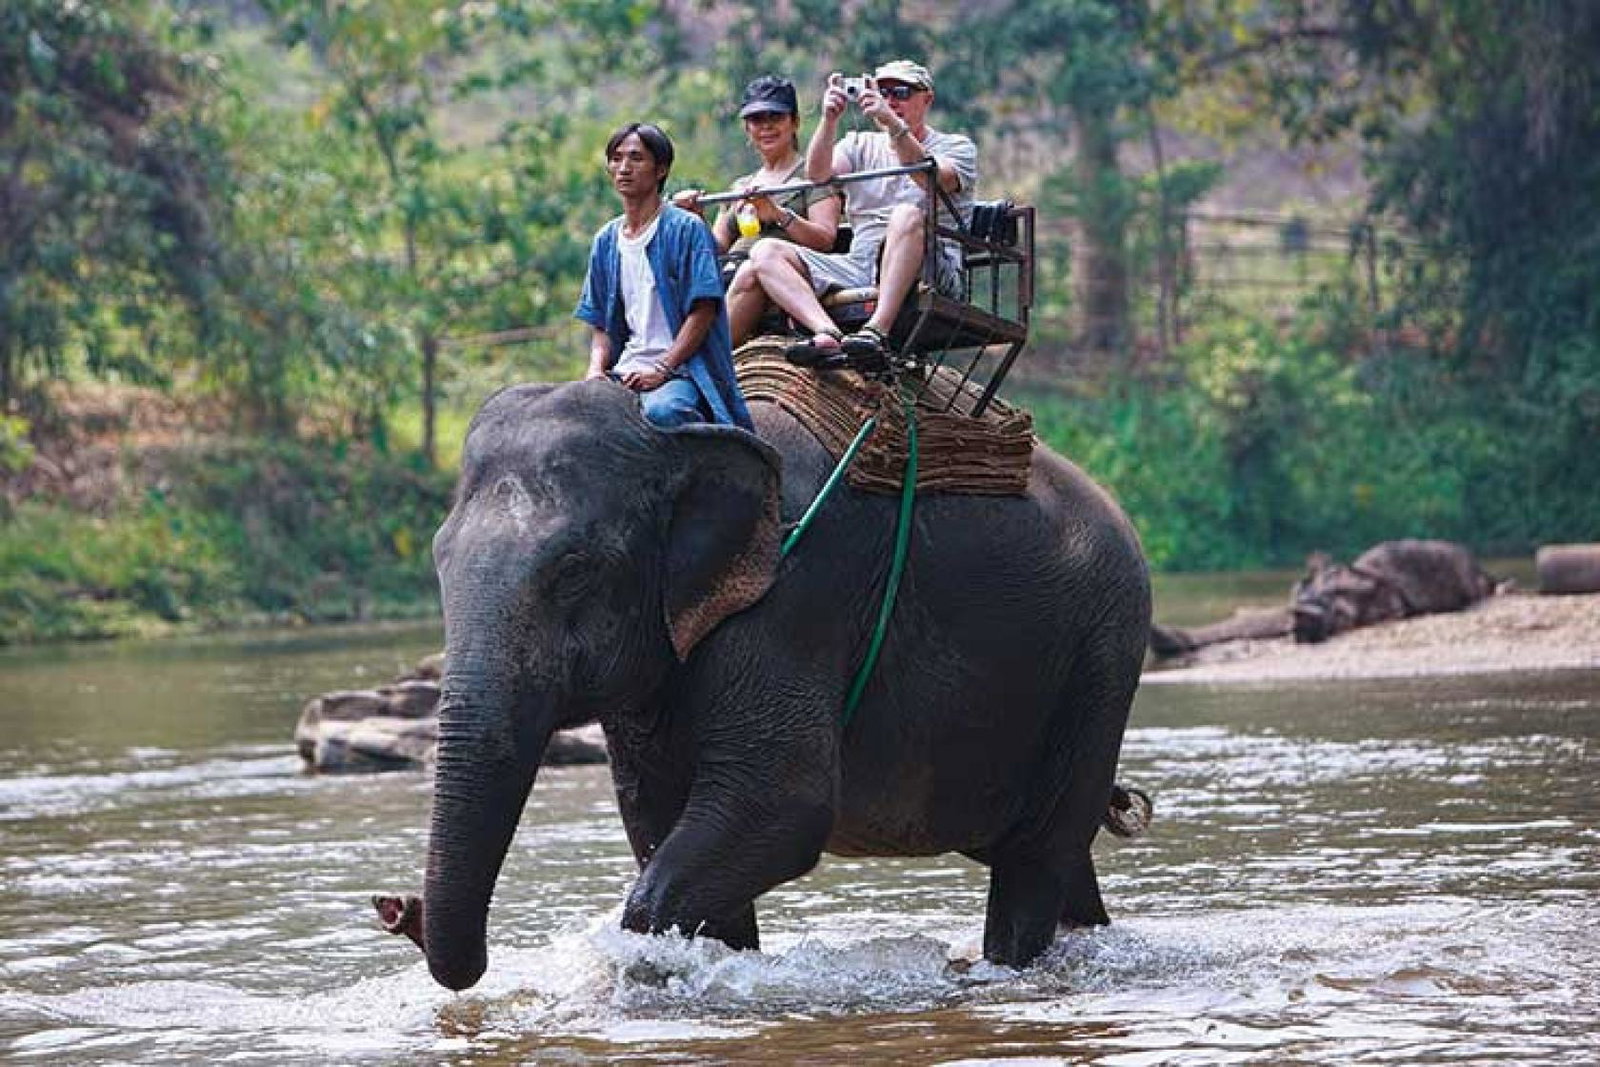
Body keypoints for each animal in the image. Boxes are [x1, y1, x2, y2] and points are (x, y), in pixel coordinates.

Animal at [375, 378, 1151, 991]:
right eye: (439, 560)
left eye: (573, 569)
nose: (396, 907)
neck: (676, 434)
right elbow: (656, 814)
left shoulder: (792, 593)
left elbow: (781, 803)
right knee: (1060, 857)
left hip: (1103, 654)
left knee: (1037, 855)